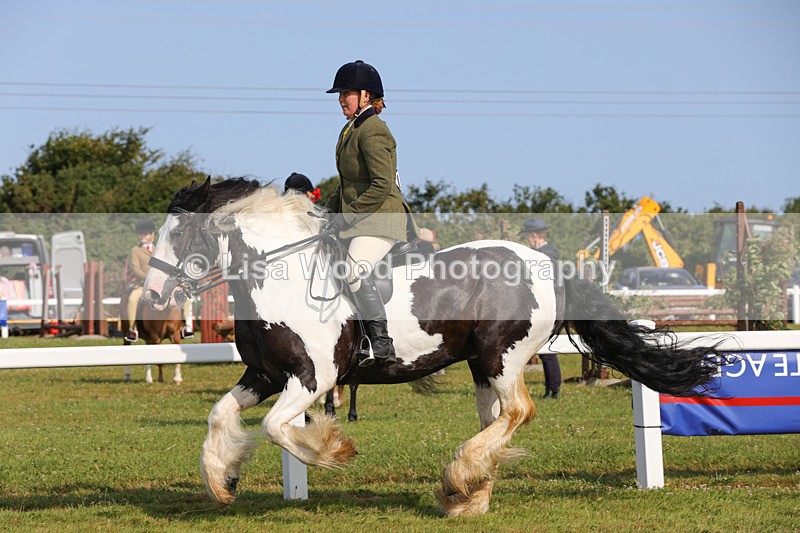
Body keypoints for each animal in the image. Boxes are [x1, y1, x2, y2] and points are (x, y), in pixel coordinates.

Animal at [142, 177, 727, 517]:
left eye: (182, 235)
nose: (151, 297)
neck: (277, 276)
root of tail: (547, 264)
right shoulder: (265, 375)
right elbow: (221, 415)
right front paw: (223, 480)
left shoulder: (313, 379)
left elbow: (274, 428)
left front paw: (334, 449)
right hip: (481, 365)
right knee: (497, 418)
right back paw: (468, 492)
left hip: (502, 356)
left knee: (519, 410)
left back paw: (459, 479)